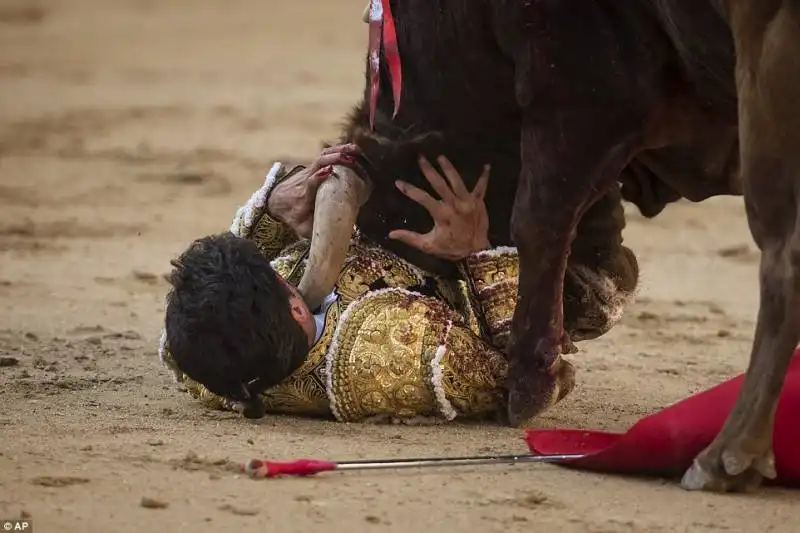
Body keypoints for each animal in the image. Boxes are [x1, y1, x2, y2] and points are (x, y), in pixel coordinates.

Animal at [302, 0, 800, 490]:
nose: (588, 316)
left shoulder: (578, 93)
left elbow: (539, 217)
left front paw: (528, 384)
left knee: (783, 258)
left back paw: (726, 456)